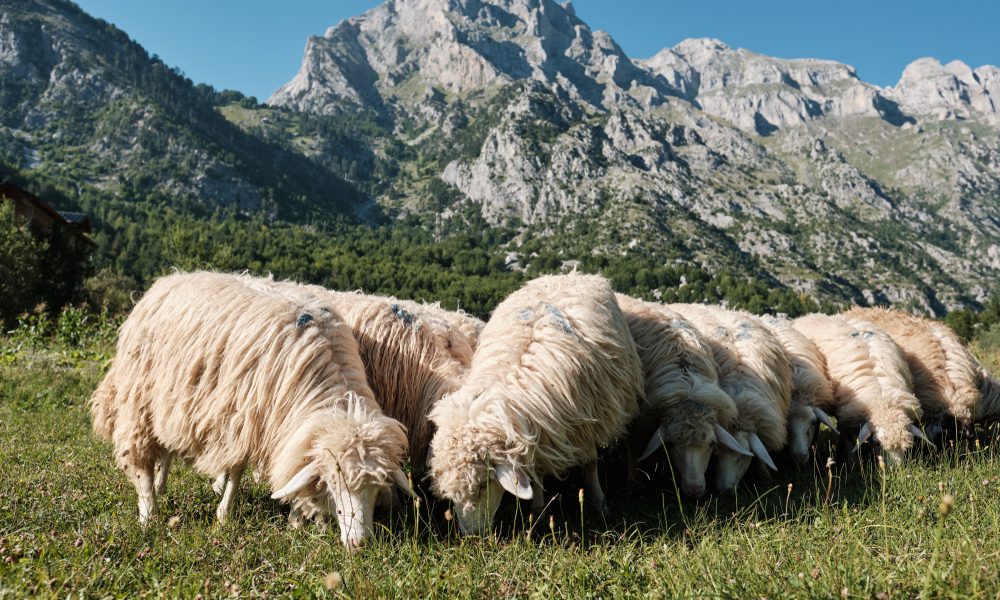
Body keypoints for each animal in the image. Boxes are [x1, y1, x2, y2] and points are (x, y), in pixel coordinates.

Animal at [89, 271, 410, 550]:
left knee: (164, 447)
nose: (360, 544)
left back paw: (161, 483)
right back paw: (149, 514)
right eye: (334, 481)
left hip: (167, 403)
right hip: (139, 397)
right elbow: (237, 470)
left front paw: (294, 519)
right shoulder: (241, 417)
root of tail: (171, 277)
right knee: (139, 457)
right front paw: (224, 516)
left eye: (376, 489)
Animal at [427, 274, 643, 534]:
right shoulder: (541, 432)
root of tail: (568, 274)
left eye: (483, 484)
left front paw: (600, 503)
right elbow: (537, 472)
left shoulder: (588, 421)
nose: (471, 535)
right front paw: (538, 511)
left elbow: (590, 463)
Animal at [615, 294, 744, 499]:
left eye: (711, 444)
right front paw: (635, 485)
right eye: (672, 444)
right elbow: (635, 452)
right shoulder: (637, 423)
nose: (695, 489)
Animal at [792, 313, 924, 465]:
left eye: (907, 444)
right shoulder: (848, 416)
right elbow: (850, 442)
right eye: (877, 443)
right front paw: (853, 463)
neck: (883, 400)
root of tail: (811, 314)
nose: (895, 469)